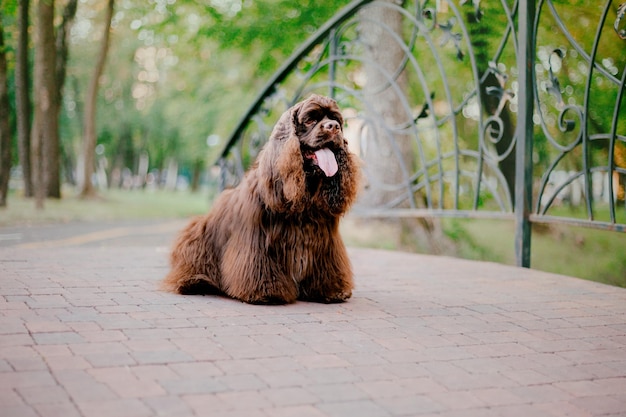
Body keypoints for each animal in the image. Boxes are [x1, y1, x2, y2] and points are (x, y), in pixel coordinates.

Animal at [161, 93, 360, 302]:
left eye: (336, 120)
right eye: (310, 119)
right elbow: (260, 265)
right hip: (197, 233)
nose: (333, 127)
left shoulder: (326, 243)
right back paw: (196, 282)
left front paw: (330, 290)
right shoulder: (257, 240)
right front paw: (266, 292)